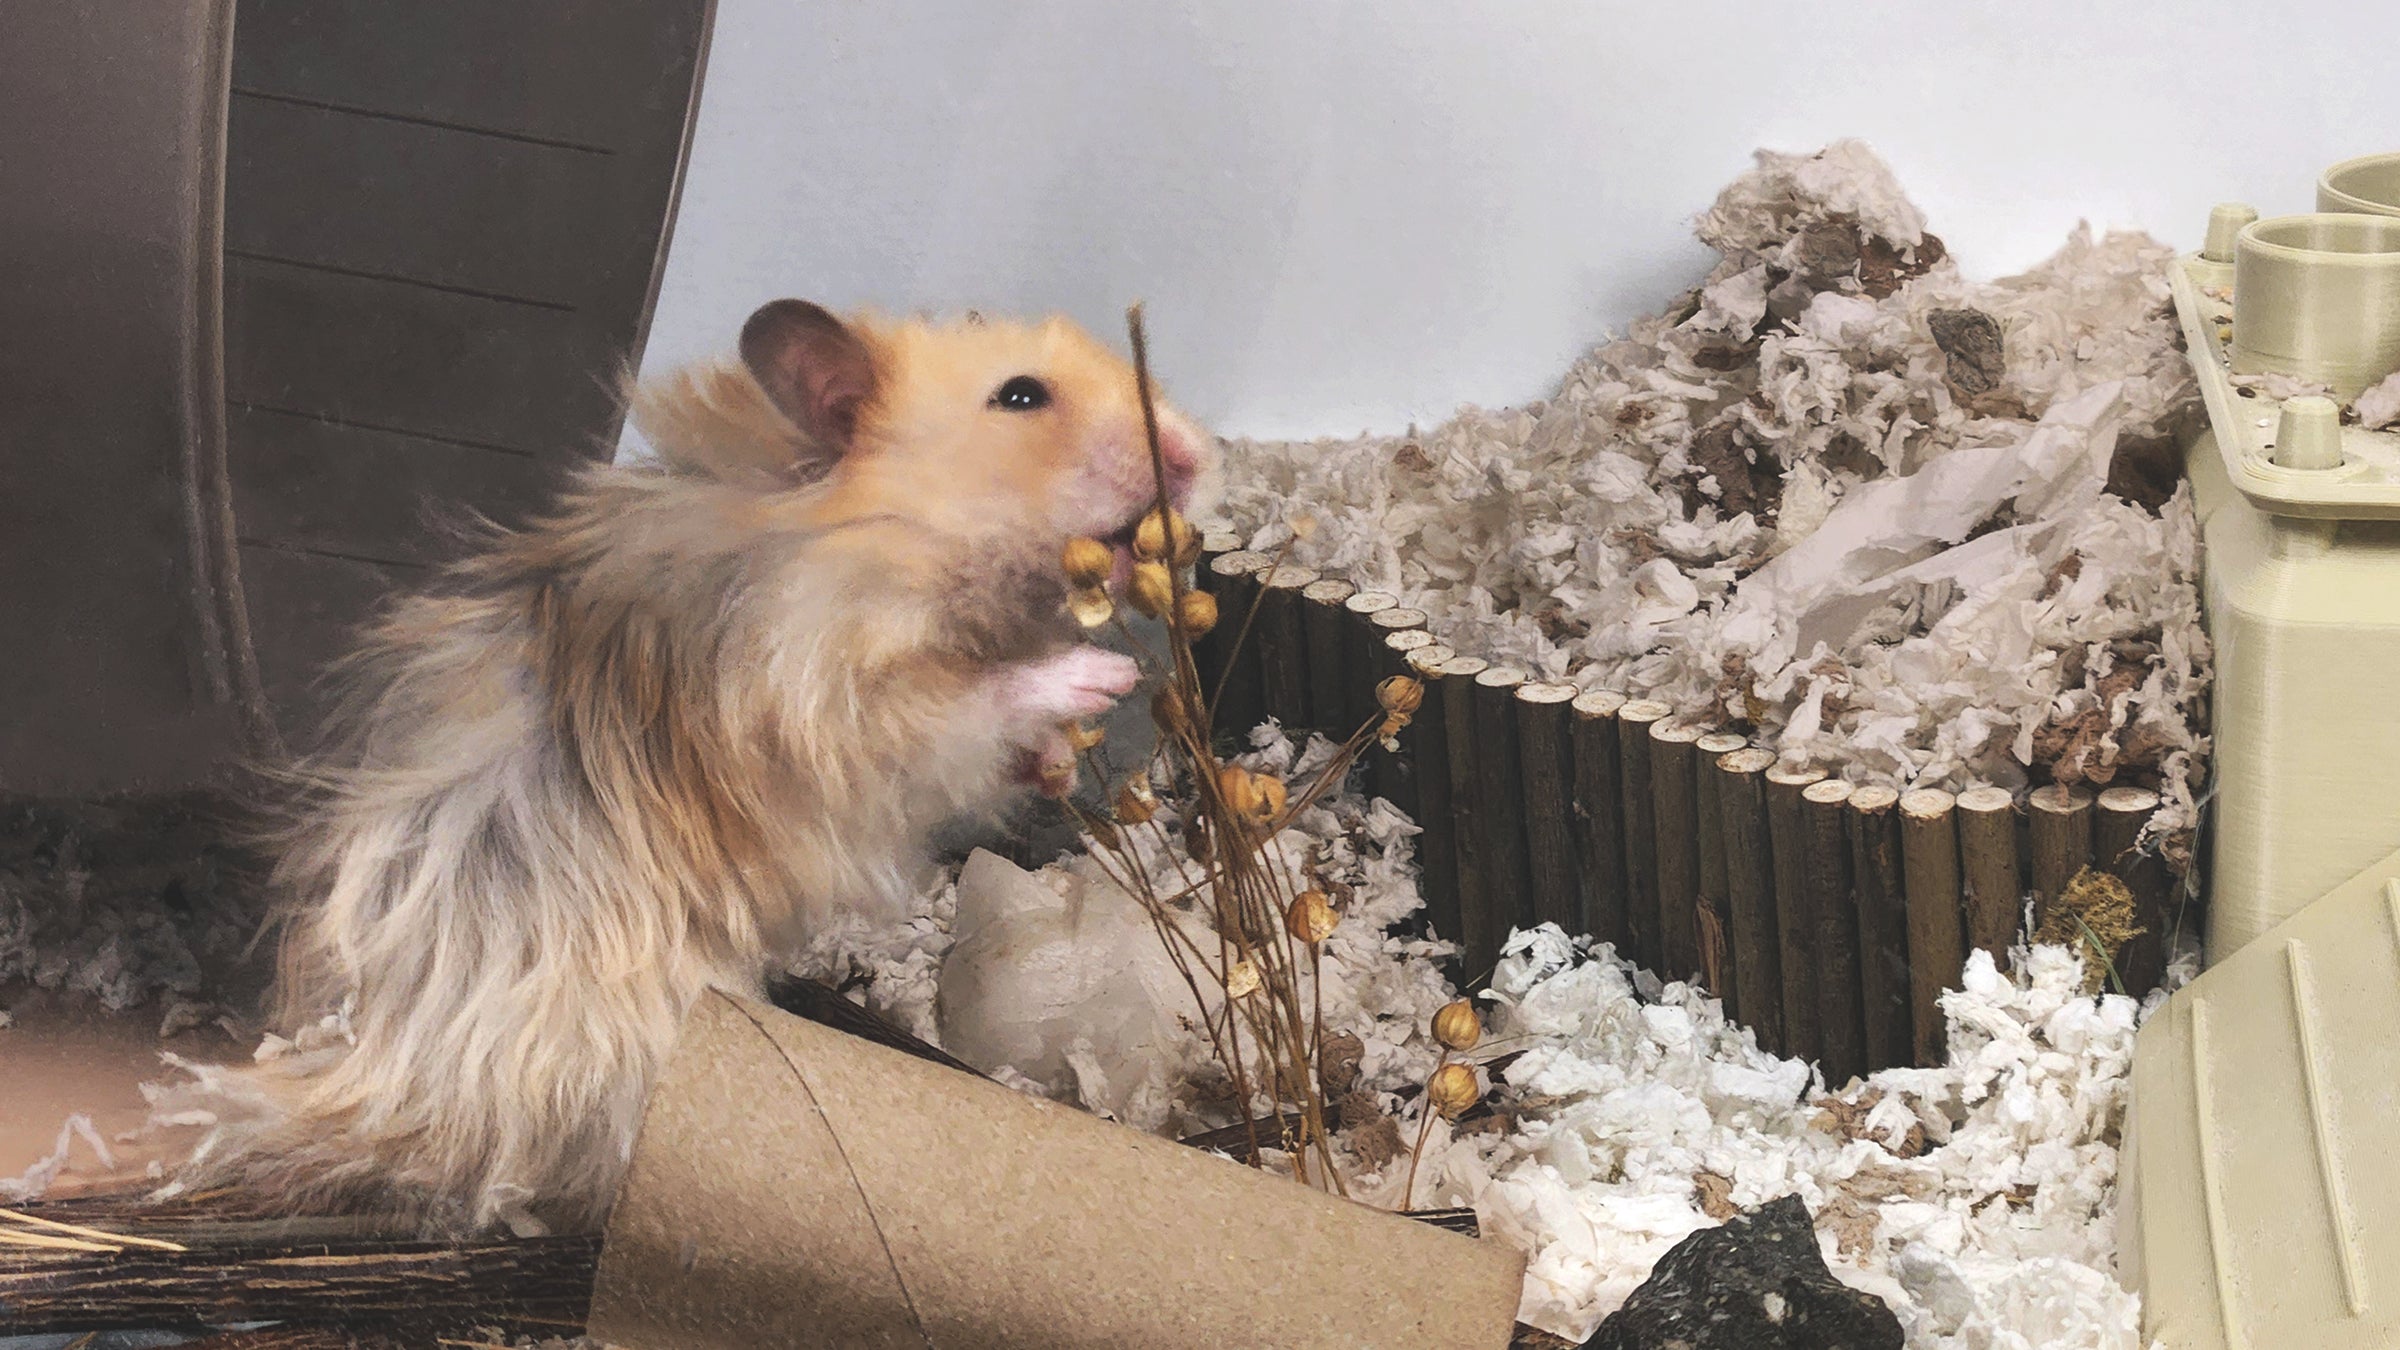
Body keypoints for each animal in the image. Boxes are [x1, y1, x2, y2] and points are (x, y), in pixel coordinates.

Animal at [161, 300, 1218, 1236]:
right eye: (1020, 397)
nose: (1197, 456)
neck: (878, 533)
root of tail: (371, 1086)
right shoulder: (835, 709)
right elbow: (976, 702)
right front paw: (1106, 676)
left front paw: (1062, 757)